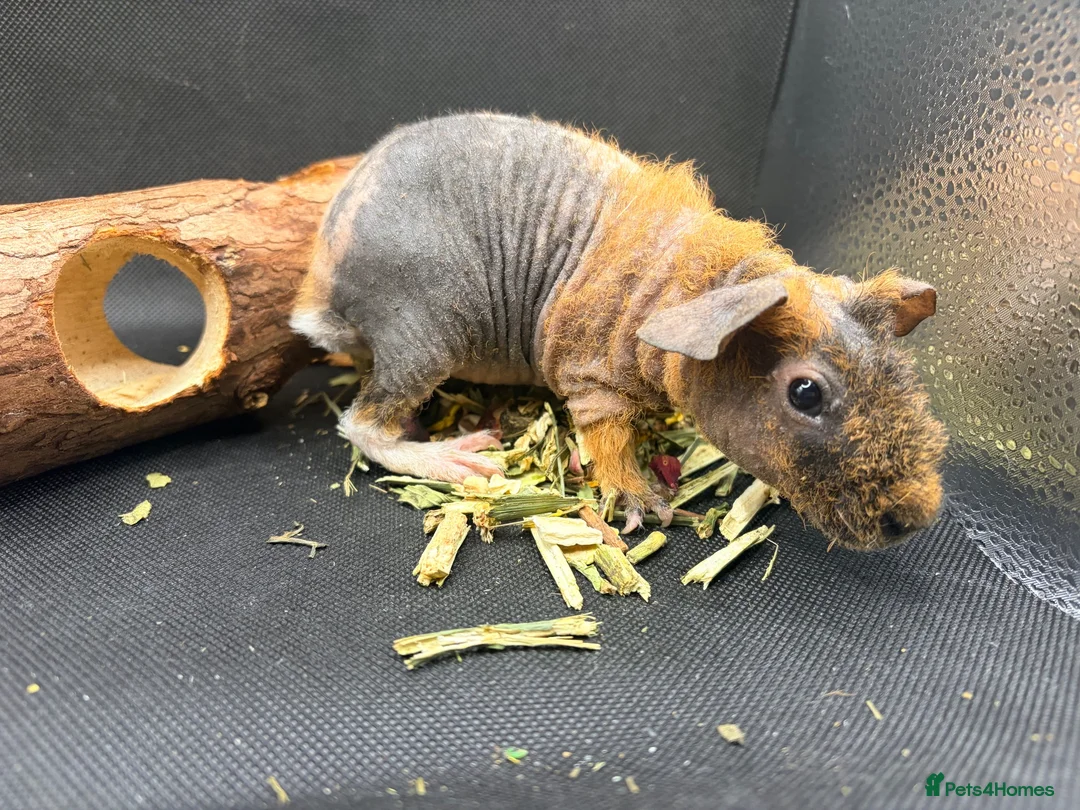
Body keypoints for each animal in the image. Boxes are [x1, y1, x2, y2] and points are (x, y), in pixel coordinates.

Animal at [290, 112, 947, 550]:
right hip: (428, 337)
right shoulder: (591, 385)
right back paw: (464, 460)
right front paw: (643, 503)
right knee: (362, 427)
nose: (914, 519)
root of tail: (321, 284)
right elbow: (608, 445)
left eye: (903, 379)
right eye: (805, 393)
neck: (686, 289)